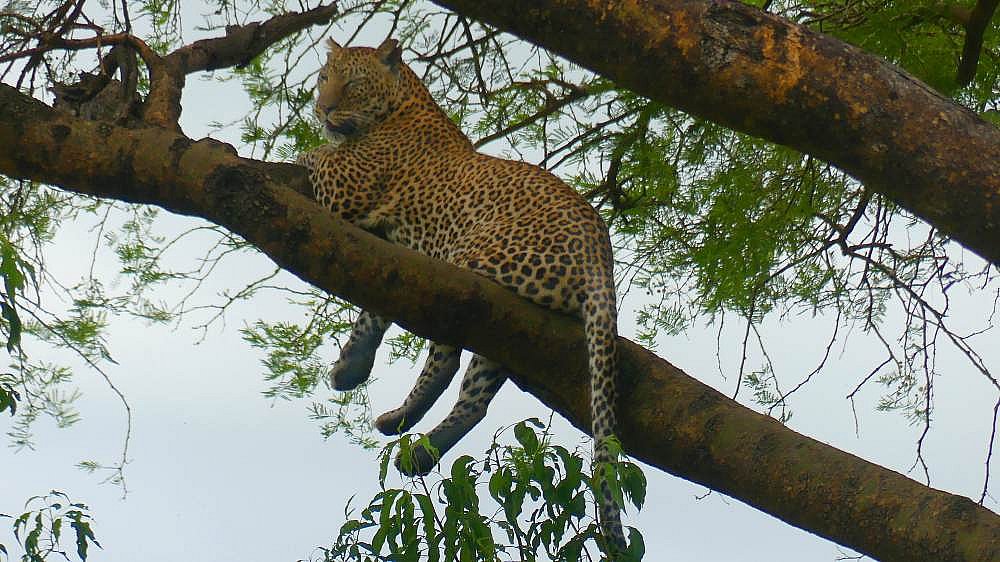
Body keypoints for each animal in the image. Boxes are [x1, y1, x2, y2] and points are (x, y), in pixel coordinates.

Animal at [296, 37, 625, 551]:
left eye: (351, 84)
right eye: (323, 79)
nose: (322, 107)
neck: (404, 103)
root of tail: (599, 252)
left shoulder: (346, 189)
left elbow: (316, 156)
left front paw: (301, 153)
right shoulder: (389, 251)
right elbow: (373, 311)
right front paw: (351, 365)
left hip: (464, 271)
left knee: (447, 356)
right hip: (511, 324)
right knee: (475, 398)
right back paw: (416, 445)